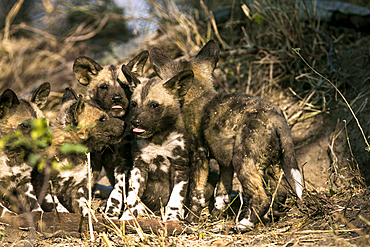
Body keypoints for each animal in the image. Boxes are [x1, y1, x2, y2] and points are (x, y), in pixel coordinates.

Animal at [0, 82, 50, 216]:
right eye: (25, 125)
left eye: (44, 123)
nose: (48, 142)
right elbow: (4, 211)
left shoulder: (24, 184)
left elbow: (36, 207)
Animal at [73, 52, 149, 216]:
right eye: (104, 87)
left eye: (125, 86)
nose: (117, 98)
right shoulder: (96, 158)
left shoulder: (123, 160)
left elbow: (119, 189)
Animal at [117, 65, 194, 220]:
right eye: (134, 104)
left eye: (154, 105)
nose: (135, 121)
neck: (158, 140)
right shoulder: (139, 167)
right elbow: (132, 198)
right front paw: (127, 217)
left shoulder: (180, 168)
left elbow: (175, 200)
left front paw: (172, 218)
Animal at [149, 40, 302, 228]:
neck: (197, 95)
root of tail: (274, 117)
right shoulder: (225, 163)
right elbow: (222, 193)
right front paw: (216, 215)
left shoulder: (200, 156)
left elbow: (196, 194)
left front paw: (191, 220)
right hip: (271, 165)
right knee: (279, 194)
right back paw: (267, 218)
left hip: (243, 161)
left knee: (261, 198)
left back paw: (244, 225)